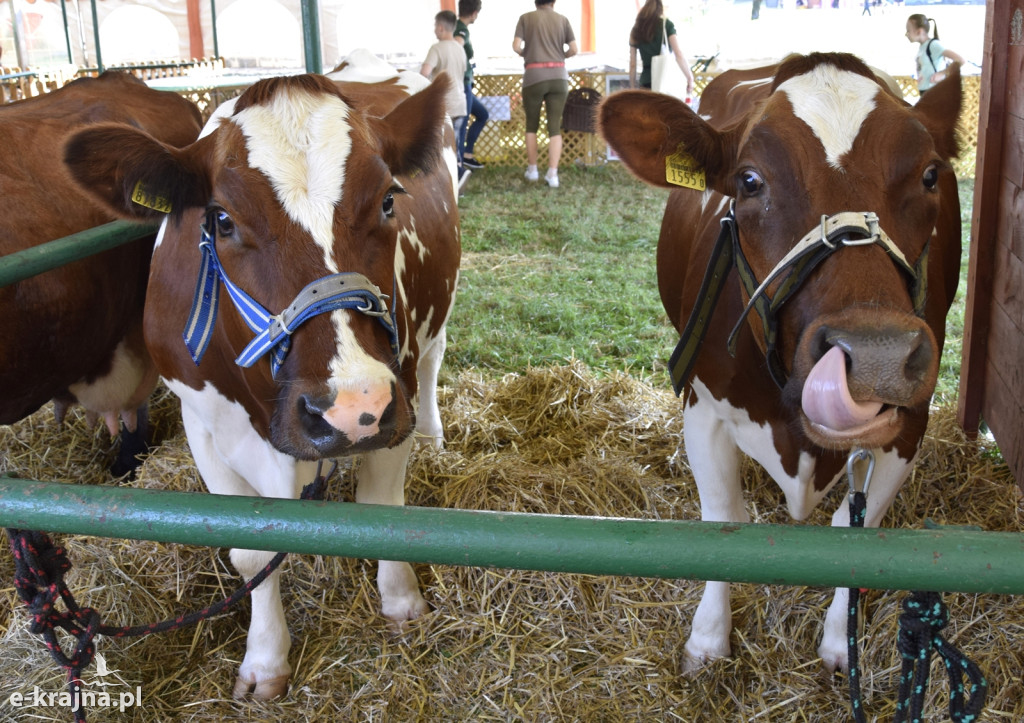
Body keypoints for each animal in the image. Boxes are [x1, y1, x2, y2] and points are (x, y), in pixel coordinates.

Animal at [64, 63, 460, 696]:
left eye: (388, 200)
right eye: (222, 220)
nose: (349, 407)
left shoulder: (390, 399)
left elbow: (384, 510)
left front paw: (402, 604)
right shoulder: (203, 424)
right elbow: (251, 552)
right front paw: (265, 660)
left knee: (433, 358)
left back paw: (433, 436)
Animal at [598, 52, 962, 671]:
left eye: (930, 175)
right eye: (749, 181)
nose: (876, 354)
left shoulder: (910, 424)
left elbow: (856, 531)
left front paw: (841, 641)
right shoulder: (704, 407)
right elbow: (724, 522)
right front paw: (708, 640)